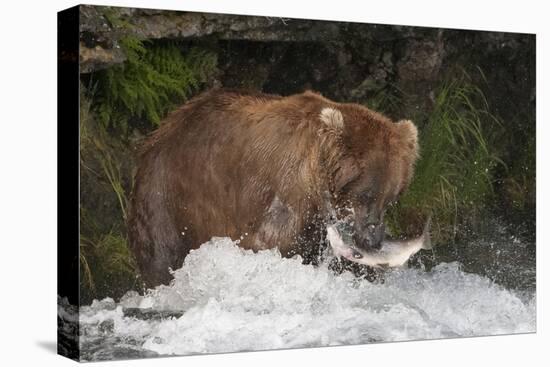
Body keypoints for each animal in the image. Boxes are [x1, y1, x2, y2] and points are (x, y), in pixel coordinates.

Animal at [129, 89, 420, 288]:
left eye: (391, 198)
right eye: (365, 194)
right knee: (160, 253)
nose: (373, 239)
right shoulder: (284, 192)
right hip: (168, 195)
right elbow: (268, 243)